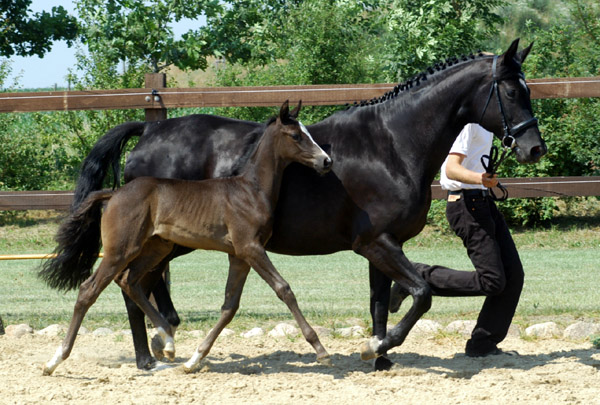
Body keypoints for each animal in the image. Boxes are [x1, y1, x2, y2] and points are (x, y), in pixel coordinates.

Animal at [43, 102, 332, 376]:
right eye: (296, 135)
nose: (326, 161)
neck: (250, 189)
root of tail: (113, 194)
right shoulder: (251, 248)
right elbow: (284, 289)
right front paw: (320, 350)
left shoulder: (239, 255)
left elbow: (229, 306)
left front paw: (194, 360)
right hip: (120, 250)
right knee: (89, 290)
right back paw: (55, 360)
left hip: (156, 248)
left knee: (129, 281)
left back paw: (167, 343)